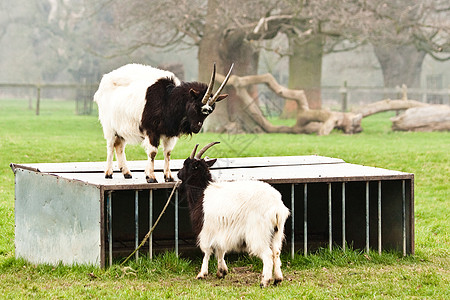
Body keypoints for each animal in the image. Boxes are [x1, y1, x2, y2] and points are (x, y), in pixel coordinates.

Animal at [95, 62, 236, 183]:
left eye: (210, 111)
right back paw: (108, 173)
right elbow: (152, 152)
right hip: (109, 127)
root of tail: (105, 80)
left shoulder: (170, 133)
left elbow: (167, 153)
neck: (167, 100)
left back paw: (127, 173)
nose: (197, 128)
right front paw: (151, 177)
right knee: (110, 145)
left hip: (121, 128)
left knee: (119, 146)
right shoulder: (152, 131)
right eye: (196, 106)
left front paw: (168, 177)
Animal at [178, 142, 290, 288]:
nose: (178, 174)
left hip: (258, 233)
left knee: (268, 255)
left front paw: (202, 274)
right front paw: (222, 272)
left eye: (187, 164)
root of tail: (276, 207)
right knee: (276, 253)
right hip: (276, 233)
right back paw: (277, 279)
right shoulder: (220, 231)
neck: (201, 193)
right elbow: (220, 250)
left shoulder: (206, 230)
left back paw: (264, 281)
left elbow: (207, 251)